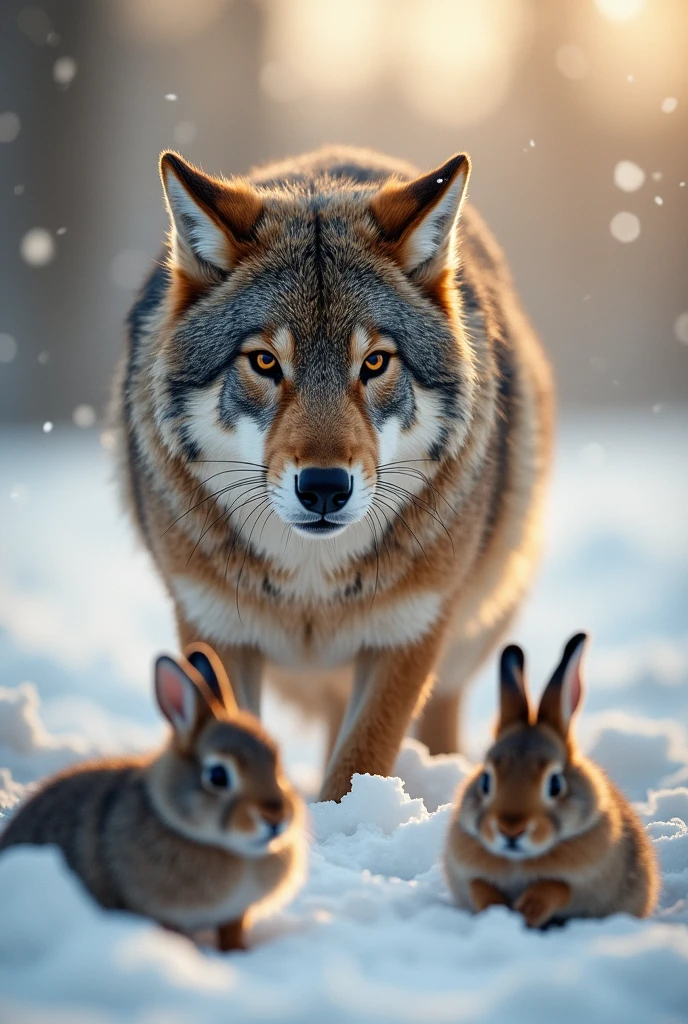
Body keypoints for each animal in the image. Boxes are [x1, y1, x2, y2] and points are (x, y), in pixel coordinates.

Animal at [114, 146, 552, 798]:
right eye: (264, 362)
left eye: (374, 363)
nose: (324, 488)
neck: (311, 583)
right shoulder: (213, 627)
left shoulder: (407, 633)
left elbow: (359, 763)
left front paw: (347, 817)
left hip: (472, 631)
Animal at [444, 630, 659, 929]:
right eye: (486, 781)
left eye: (555, 784)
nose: (511, 830)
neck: (519, 859)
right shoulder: (470, 875)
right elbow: (480, 888)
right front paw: (497, 910)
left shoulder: (583, 881)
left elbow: (555, 888)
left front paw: (526, 911)